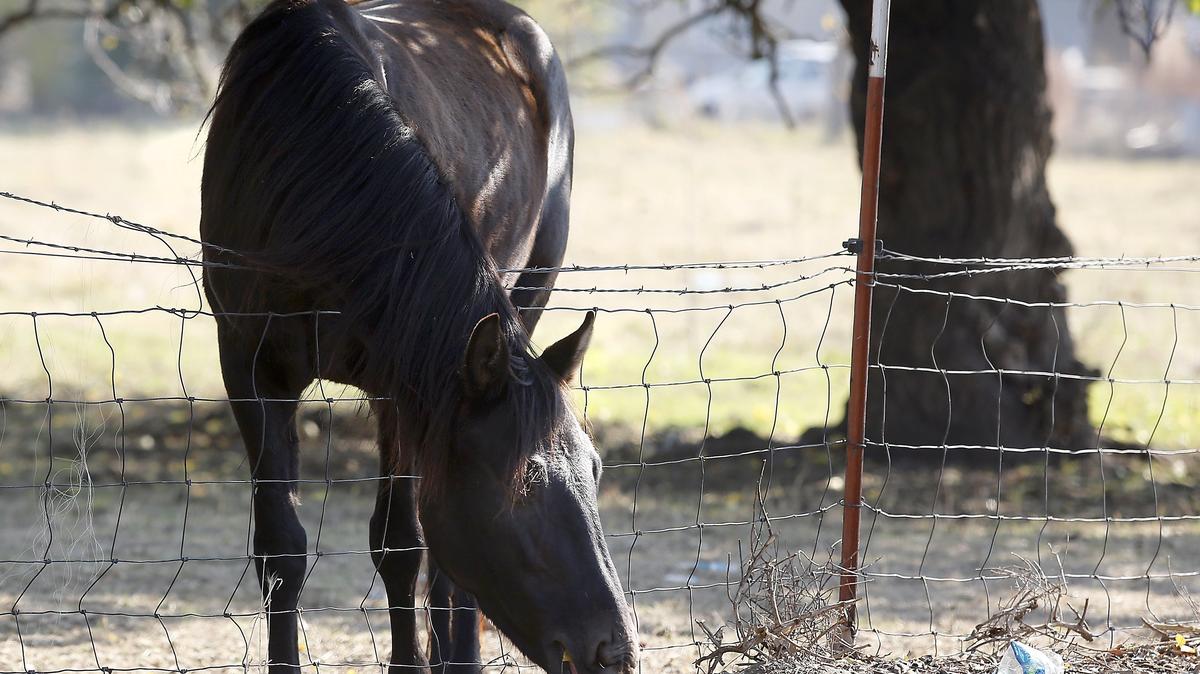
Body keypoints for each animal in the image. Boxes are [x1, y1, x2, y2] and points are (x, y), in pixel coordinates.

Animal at [198, 1, 637, 672]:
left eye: (595, 468)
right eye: (524, 486)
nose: (614, 649)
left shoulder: (401, 385)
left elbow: (402, 544)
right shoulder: (250, 366)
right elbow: (282, 548)